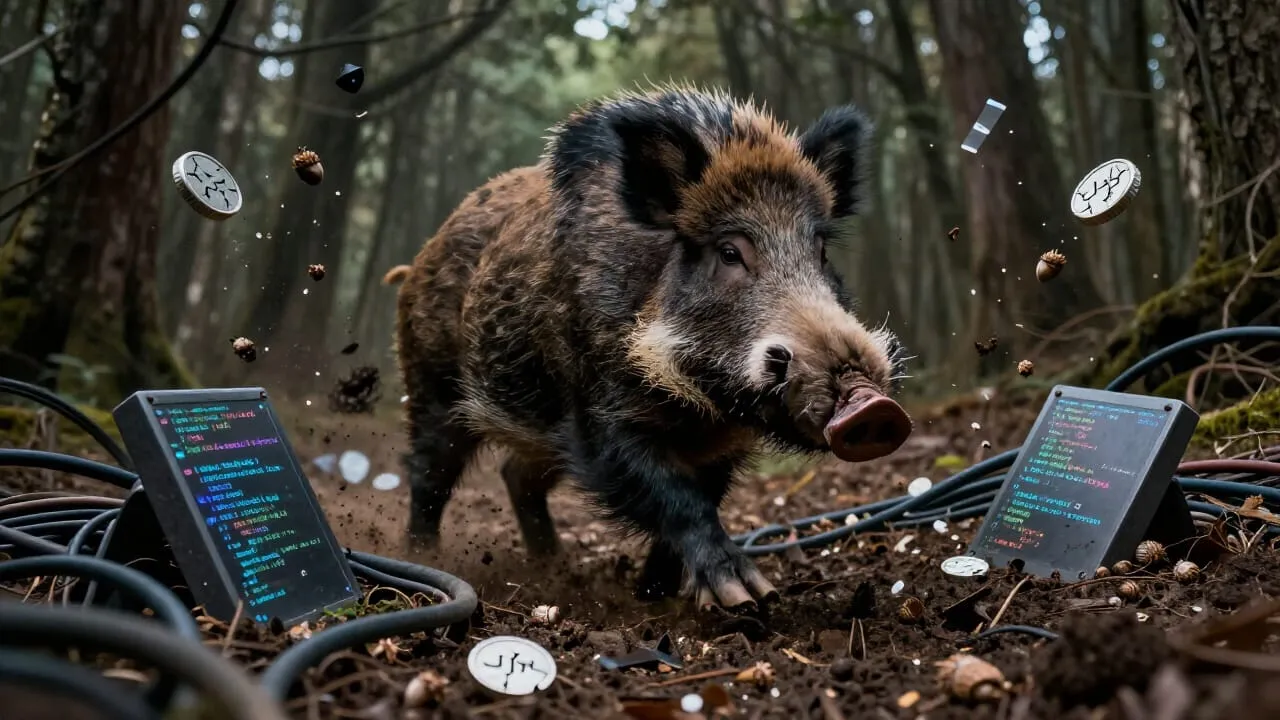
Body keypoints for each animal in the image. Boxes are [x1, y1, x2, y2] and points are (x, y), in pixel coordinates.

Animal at [389, 86, 912, 610]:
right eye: (729, 252)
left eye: (820, 252)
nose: (871, 403)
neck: (698, 409)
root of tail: (420, 259)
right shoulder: (599, 416)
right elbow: (674, 497)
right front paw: (746, 596)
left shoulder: (721, 445)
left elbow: (701, 499)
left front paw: (656, 596)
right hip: (432, 384)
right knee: (429, 472)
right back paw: (425, 557)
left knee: (517, 476)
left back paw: (555, 566)